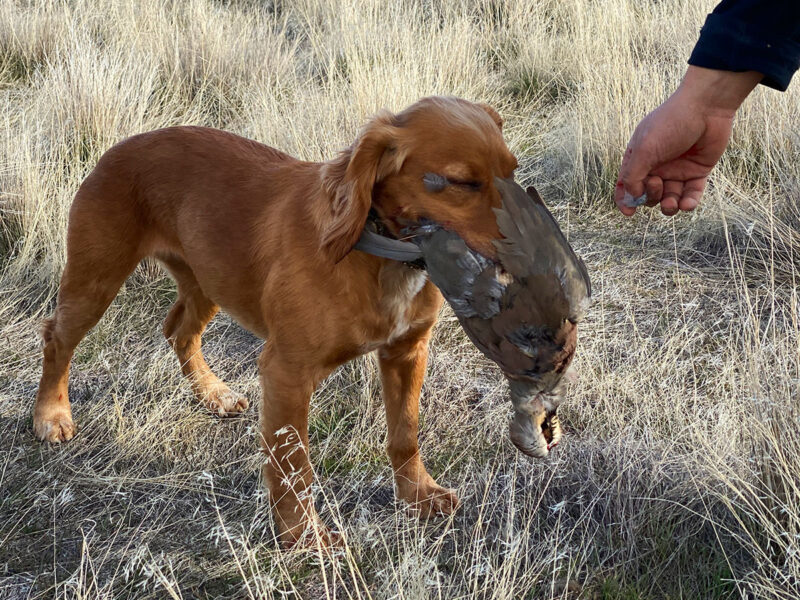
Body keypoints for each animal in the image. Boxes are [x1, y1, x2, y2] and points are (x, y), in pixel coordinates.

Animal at [32, 96, 520, 548]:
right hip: (96, 278)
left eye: (511, 173)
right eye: (461, 183)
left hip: (209, 279)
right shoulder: (288, 373)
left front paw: (418, 494)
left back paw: (213, 394)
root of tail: (121, 146)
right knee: (58, 337)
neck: (378, 257)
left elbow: (406, 434)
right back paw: (51, 414)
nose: (525, 250)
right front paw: (303, 536)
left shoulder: (407, 352)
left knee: (178, 331)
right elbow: (292, 465)